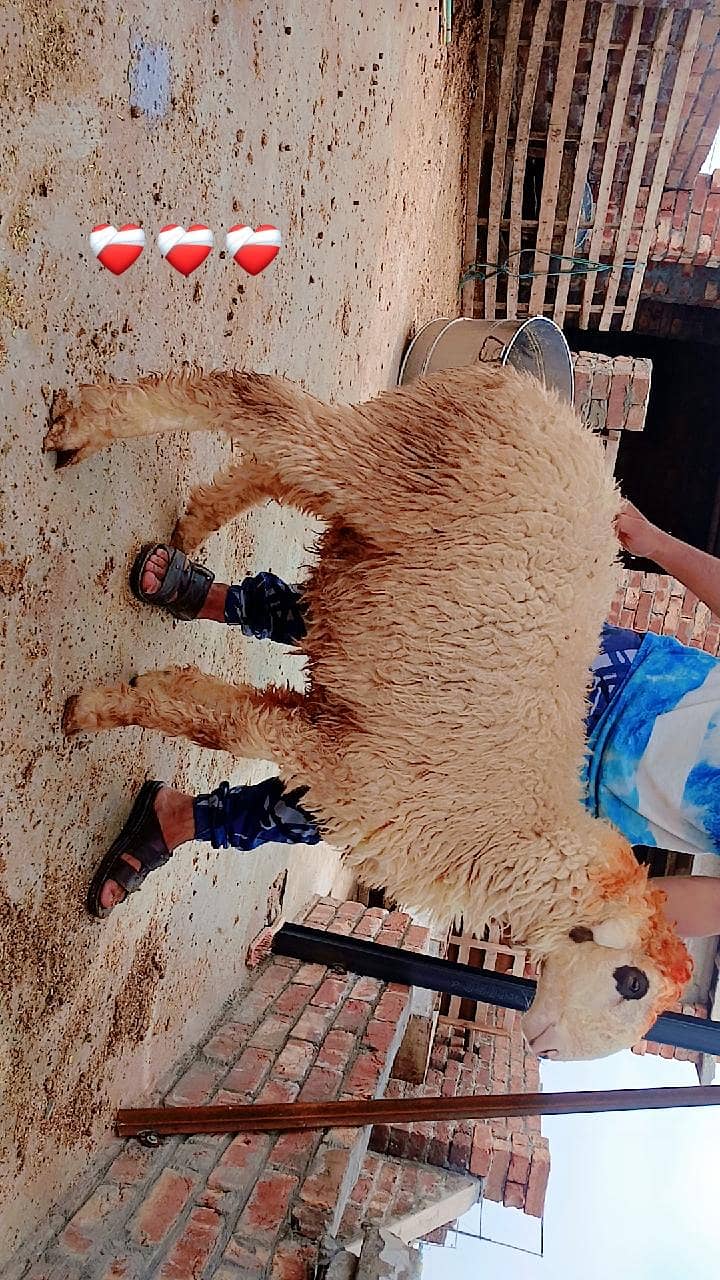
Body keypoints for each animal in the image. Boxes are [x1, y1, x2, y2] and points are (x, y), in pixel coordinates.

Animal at [44, 362, 693, 1061]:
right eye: (631, 982)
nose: (543, 1048)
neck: (509, 828)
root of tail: (550, 402)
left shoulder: (338, 743)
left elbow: (219, 711)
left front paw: (145, 689)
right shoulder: (350, 760)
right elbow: (220, 727)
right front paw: (92, 711)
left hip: (377, 509)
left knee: (280, 466)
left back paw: (190, 532)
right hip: (404, 468)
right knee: (259, 402)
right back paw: (82, 430)